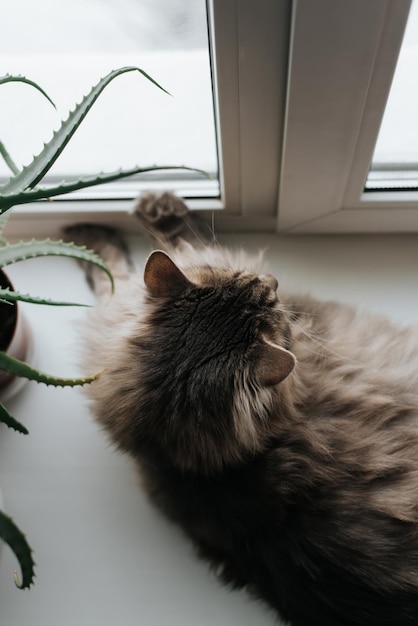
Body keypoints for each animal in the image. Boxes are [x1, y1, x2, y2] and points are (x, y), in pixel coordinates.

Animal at [66, 193, 418, 620]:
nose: (273, 279)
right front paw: (140, 213)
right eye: (272, 303)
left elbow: (119, 271)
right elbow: (132, 262)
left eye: (244, 277)